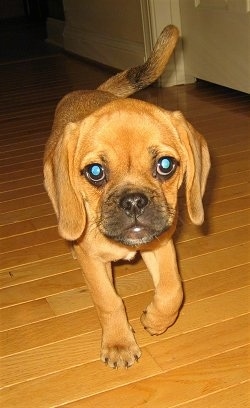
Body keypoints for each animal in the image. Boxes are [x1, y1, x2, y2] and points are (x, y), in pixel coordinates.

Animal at [44, 26, 210, 370]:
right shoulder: (94, 262)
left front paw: (156, 321)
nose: (134, 202)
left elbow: (173, 290)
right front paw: (119, 344)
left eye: (165, 165)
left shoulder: (160, 245)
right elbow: (109, 301)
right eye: (95, 171)